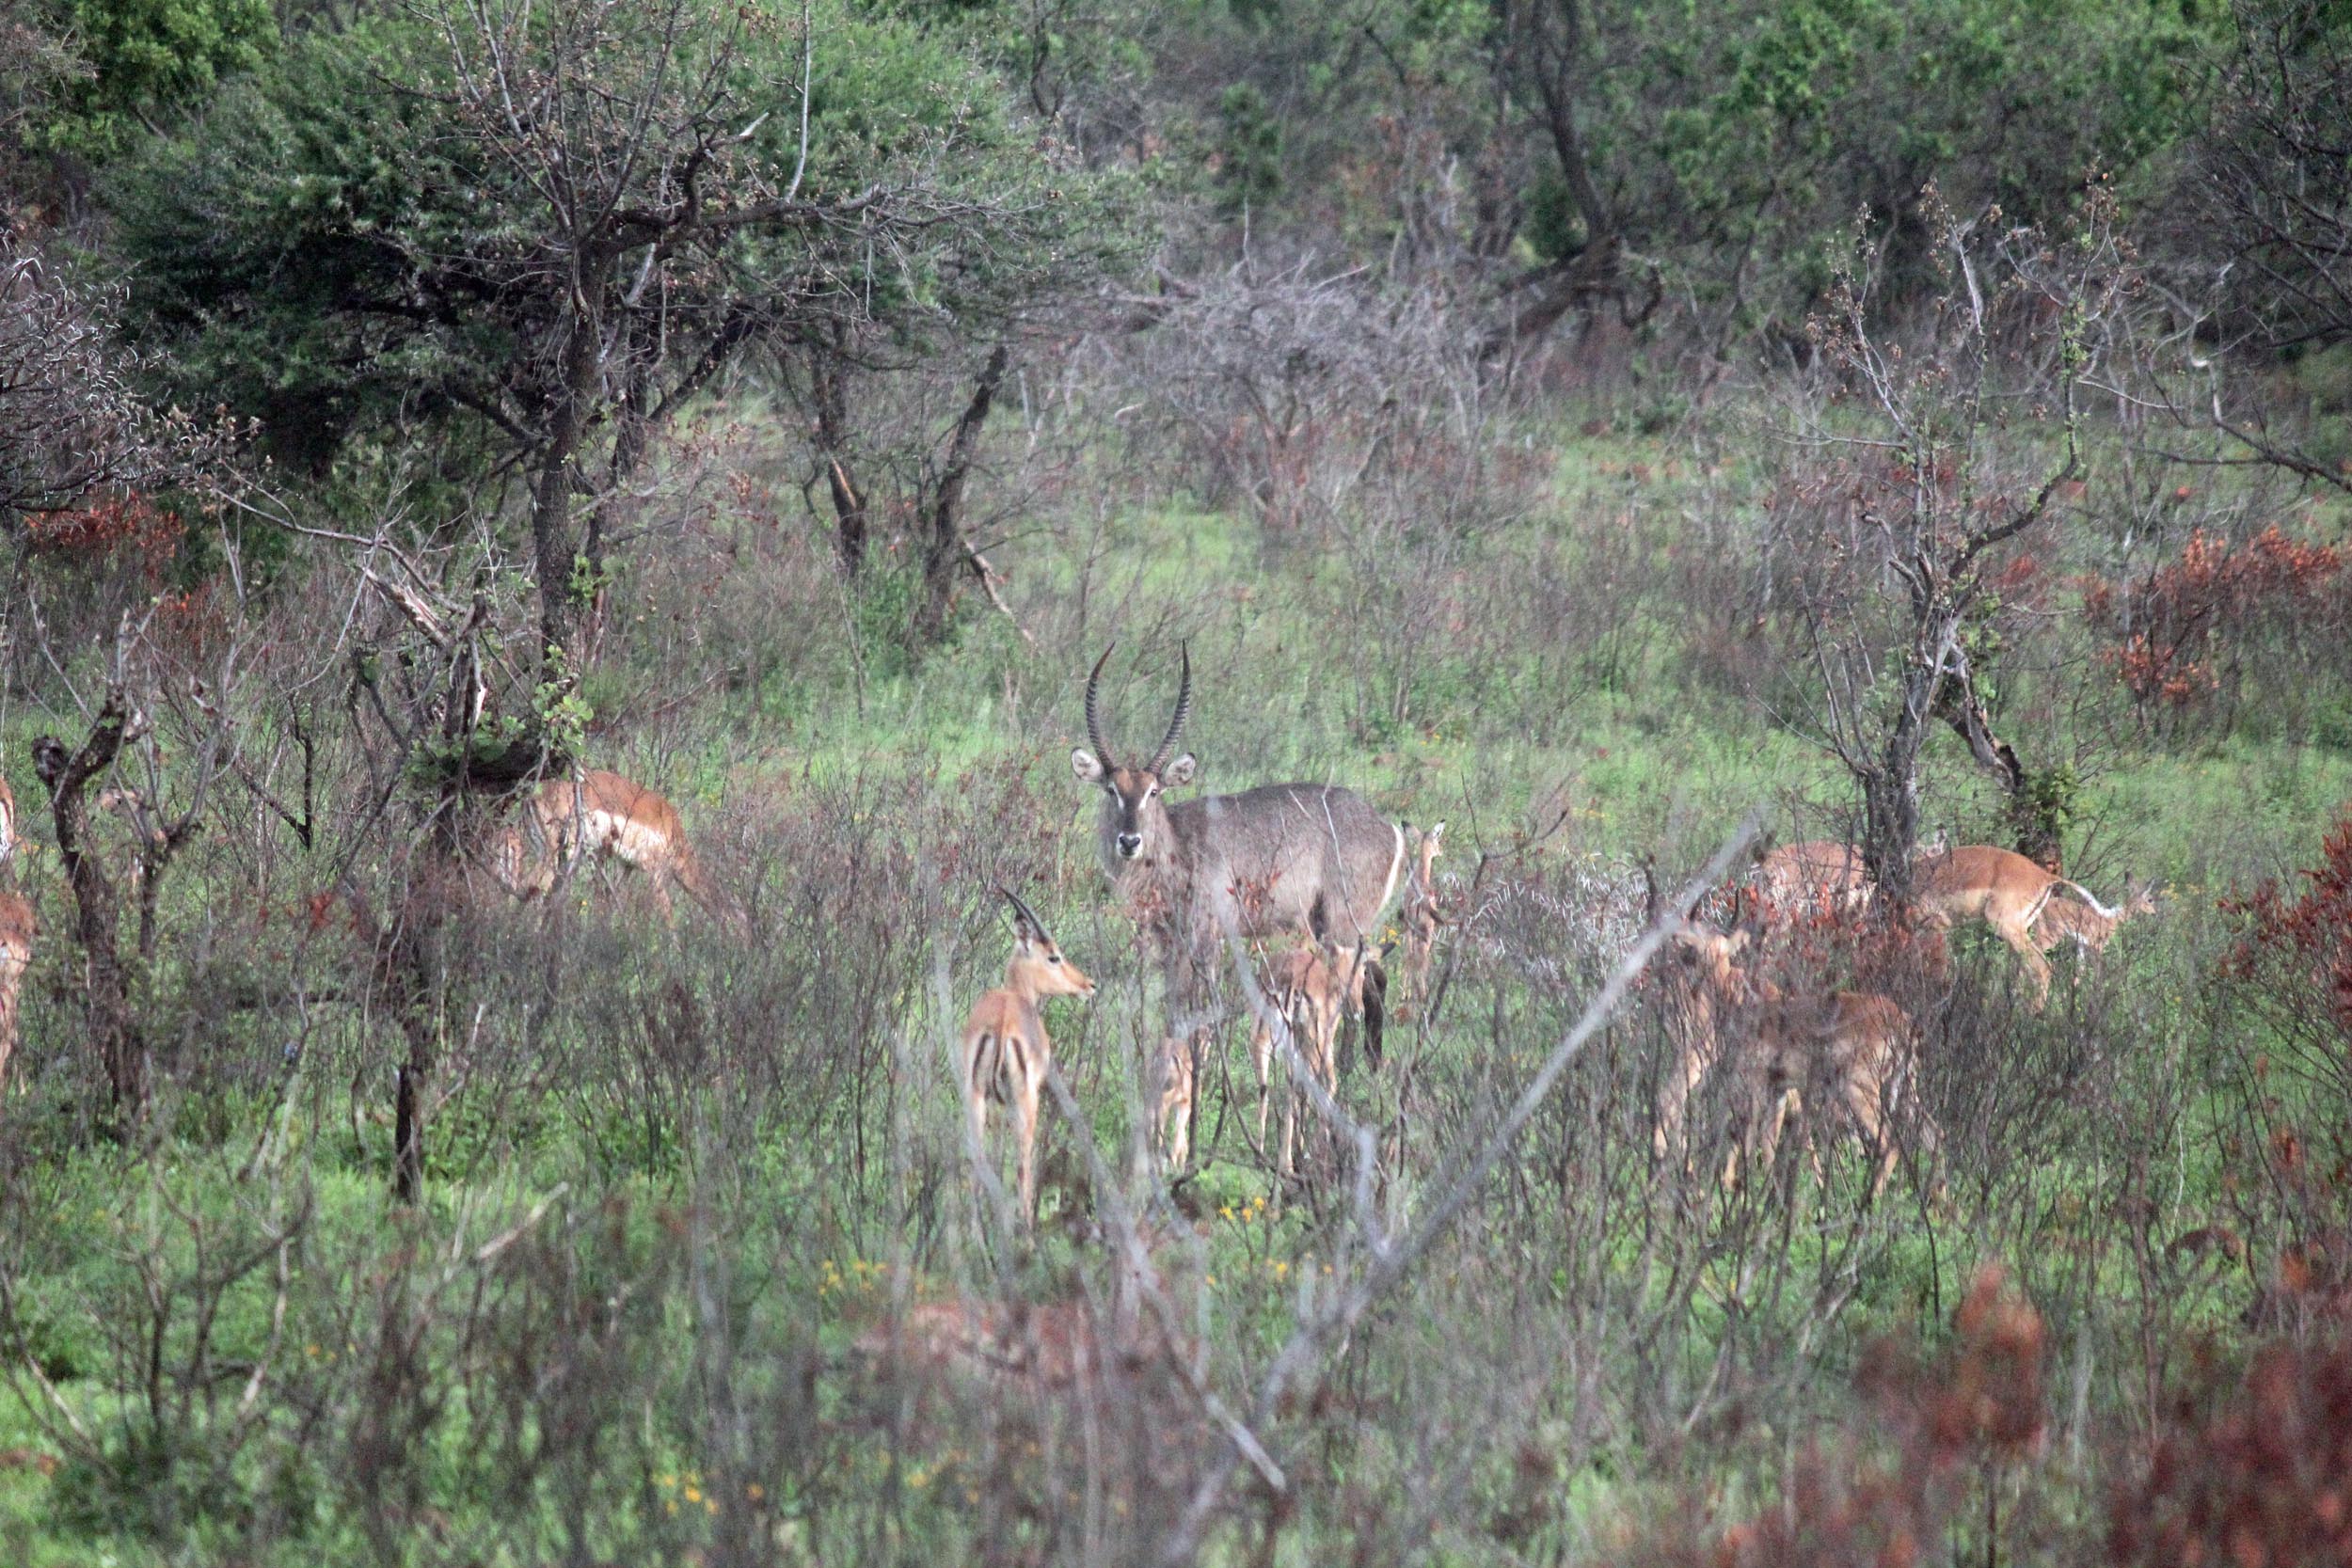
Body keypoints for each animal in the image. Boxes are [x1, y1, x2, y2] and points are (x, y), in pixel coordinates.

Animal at [486, 766, 715, 911]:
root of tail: (531, 797)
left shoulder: (626, 866)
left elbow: (608, 900)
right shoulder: (655, 872)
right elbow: (668, 916)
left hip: (544, 851)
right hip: (558, 852)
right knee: (529, 887)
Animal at [960, 893, 1096, 1212]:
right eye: (1053, 955)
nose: (1089, 985)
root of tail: (1001, 1024)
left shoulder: (996, 1102)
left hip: (976, 1094)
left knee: (978, 1164)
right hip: (1026, 1101)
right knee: (1023, 1169)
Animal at [1077, 639, 1402, 1165]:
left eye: (1153, 791)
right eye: (1111, 789)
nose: (1128, 841)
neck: (1177, 849)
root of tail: (1387, 825)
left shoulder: (1207, 941)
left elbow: (1198, 1022)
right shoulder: (1169, 948)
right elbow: (1172, 1014)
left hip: (1343, 924)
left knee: (1357, 992)